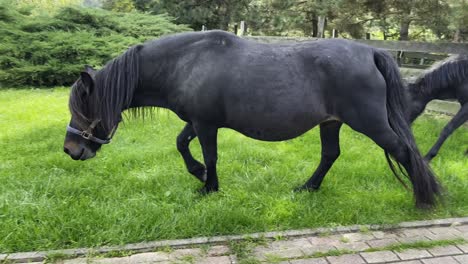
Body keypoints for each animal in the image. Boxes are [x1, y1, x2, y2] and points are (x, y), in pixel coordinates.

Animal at [64, 30, 440, 208]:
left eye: (82, 109)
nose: (70, 150)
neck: (185, 63)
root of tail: (371, 52)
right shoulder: (196, 120)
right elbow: (181, 144)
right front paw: (199, 174)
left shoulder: (206, 124)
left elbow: (210, 155)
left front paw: (209, 187)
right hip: (331, 123)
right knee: (330, 154)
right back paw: (308, 187)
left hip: (370, 123)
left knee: (404, 152)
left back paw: (426, 198)